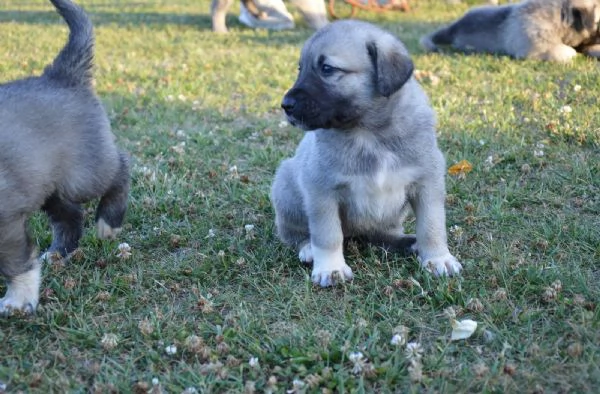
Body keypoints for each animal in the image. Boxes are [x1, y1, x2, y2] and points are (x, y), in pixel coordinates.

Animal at [0, 0, 130, 314]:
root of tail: (61, 75)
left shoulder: (4, 219)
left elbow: (15, 261)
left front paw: (18, 300)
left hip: (82, 175)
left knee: (121, 168)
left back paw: (108, 223)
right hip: (46, 184)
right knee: (70, 217)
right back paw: (57, 254)